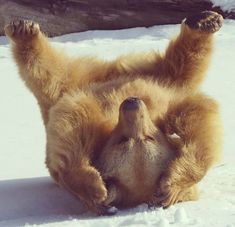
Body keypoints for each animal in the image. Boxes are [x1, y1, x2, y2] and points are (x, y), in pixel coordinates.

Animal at [4, 10, 223, 215]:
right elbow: (74, 126)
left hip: (161, 79)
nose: (132, 102)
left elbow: (199, 129)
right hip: (147, 78)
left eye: (149, 138)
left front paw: (171, 188)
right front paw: (94, 190)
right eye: (122, 140)